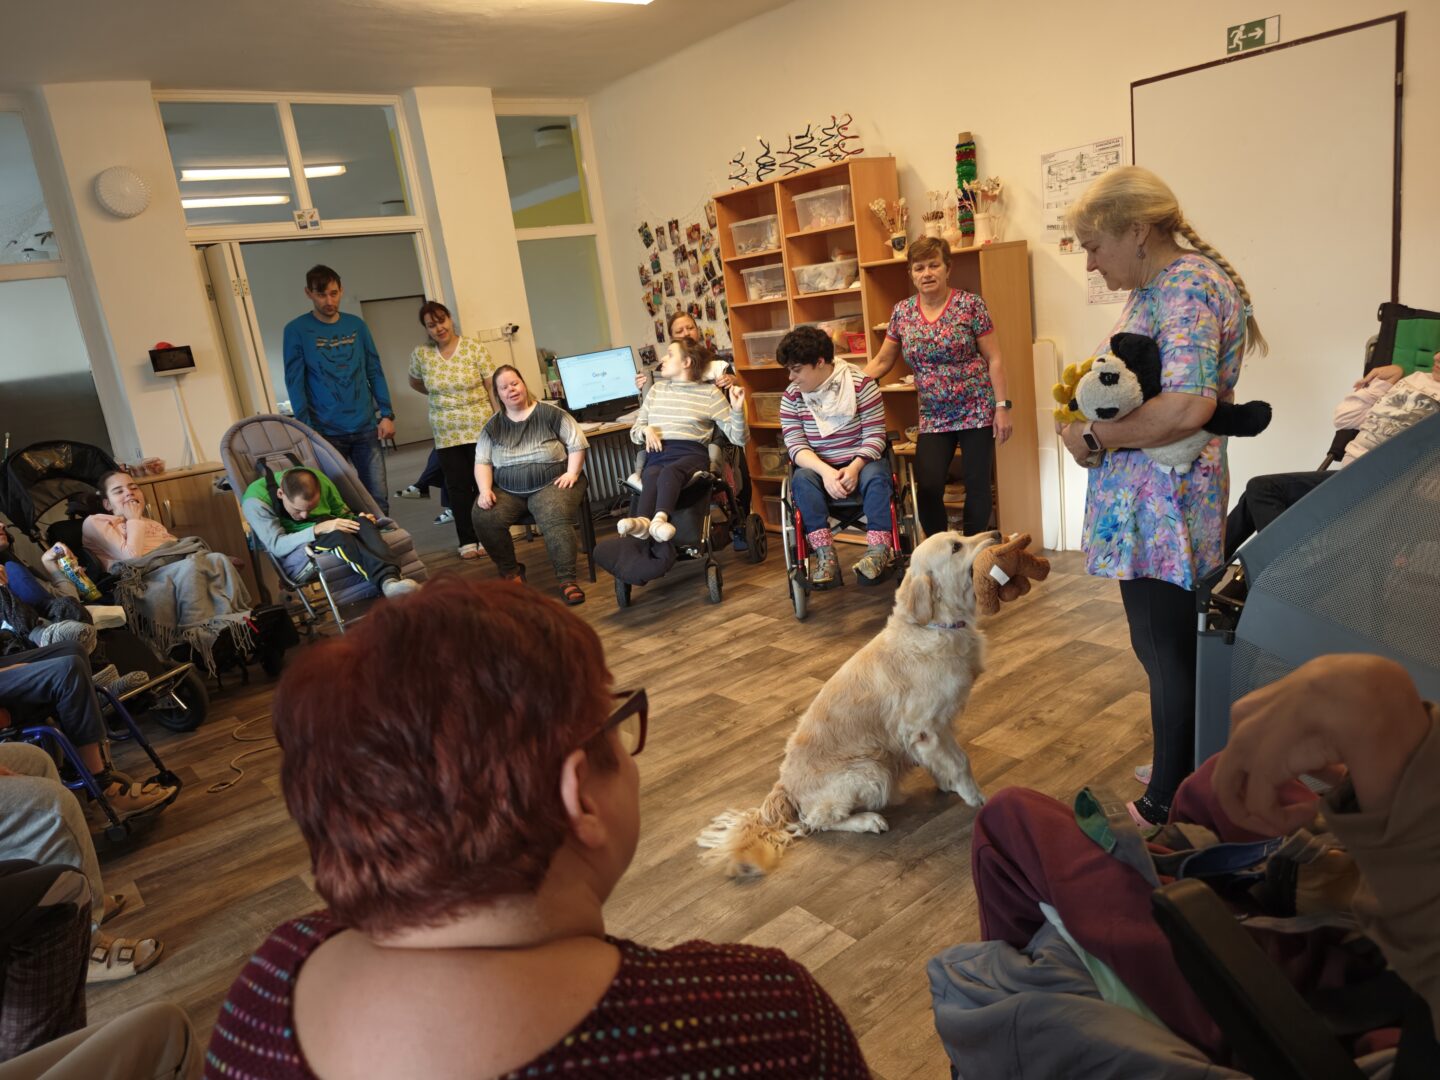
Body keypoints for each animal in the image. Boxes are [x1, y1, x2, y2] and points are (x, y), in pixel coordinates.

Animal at [697, 530, 999, 878]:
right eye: (956, 547)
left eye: (960, 536)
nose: (996, 533)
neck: (933, 627)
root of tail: (784, 787)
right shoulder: (925, 726)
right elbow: (960, 761)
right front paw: (974, 796)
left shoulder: (931, 729)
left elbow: (941, 758)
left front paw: (947, 781)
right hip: (872, 770)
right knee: (817, 821)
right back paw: (869, 821)